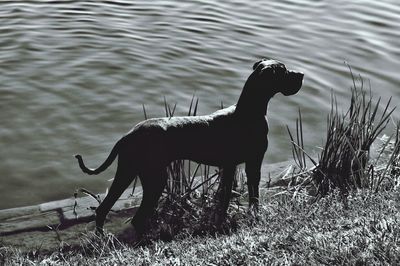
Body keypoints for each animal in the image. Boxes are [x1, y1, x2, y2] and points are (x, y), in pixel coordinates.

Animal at [75, 58, 304, 237]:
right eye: (283, 71)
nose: (301, 74)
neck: (249, 111)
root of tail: (129, 134)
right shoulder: (251, 163)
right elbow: (248, 195)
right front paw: (250, 217)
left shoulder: (233, 167)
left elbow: (229, 196)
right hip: (154, 179)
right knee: (135, 217)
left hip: (129, 172)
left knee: (104, 209)